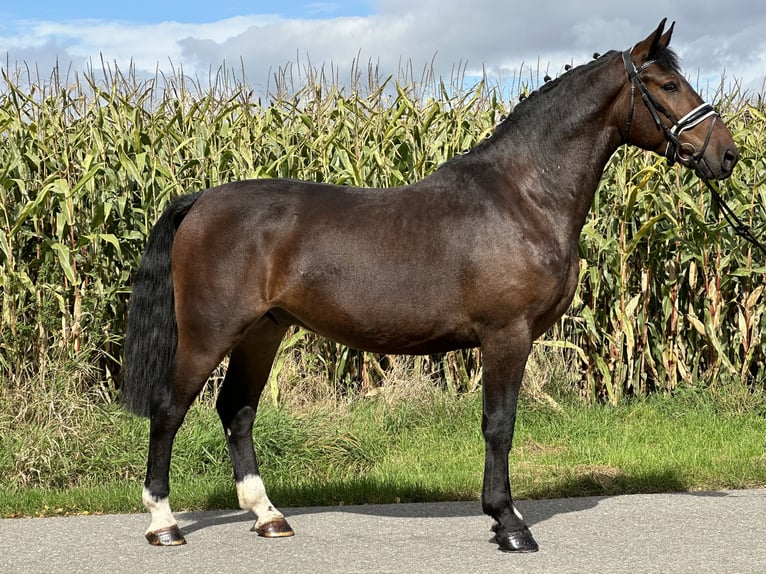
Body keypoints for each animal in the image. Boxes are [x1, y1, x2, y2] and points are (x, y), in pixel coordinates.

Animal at [123, 19, 740, 552]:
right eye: (668, 84)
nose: (727, 154)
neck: (522, 196)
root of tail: (200, 201)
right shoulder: (507, 335)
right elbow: (499, 426)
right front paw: (508, 523)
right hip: (209, 332)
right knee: (169, 410)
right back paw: (163, 524)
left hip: (262, 332)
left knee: (238, 410)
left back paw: (268, 516)